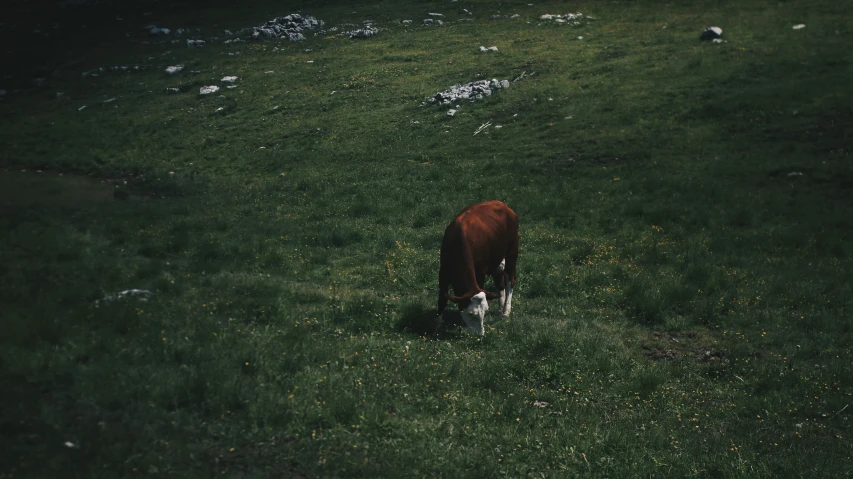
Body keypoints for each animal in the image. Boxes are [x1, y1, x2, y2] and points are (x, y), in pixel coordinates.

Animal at [440, 201, 520, 336]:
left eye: (485, 312)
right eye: (472, 314)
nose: (481, 335)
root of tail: (503, 205)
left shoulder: (480, 272)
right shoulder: (443, 273)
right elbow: (441, 300)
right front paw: (437, 327)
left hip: (512, 252)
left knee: (510, 279)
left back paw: (505, 311)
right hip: (496, 260)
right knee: (499, 282)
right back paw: (500, 307)